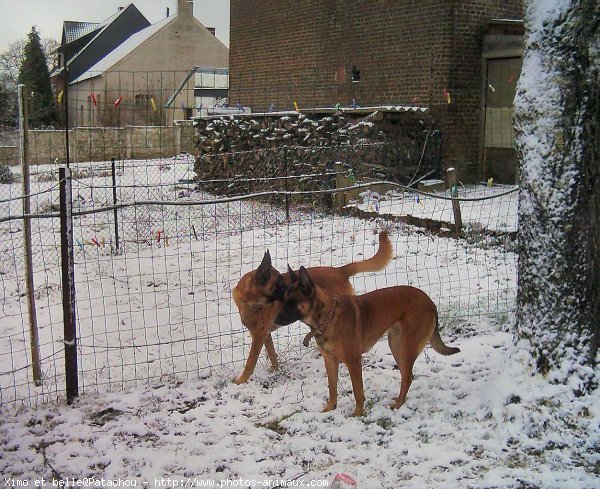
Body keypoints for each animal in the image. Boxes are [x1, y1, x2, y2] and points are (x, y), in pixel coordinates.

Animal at [231, 231, 394, 384]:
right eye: (282, 284)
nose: (292, 292)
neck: (249, 300)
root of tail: (340, 270)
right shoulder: (265, 335)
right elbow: (272, 355)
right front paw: (276, 370)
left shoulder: (258, 336)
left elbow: (250, 363)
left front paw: (240, 381)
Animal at [274, 264, 462, 414]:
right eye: (284, 300)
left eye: (292, 302)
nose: (274, 320)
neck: (327, 317)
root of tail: (430, 302)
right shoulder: (330, 360)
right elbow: (332, 387)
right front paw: (329, 408)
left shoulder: (353, 361)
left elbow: (358, 391)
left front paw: (358, 413)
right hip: (396, 345)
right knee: (406, 376)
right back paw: (398, 400)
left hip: (405, 347)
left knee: (408, 377)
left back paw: (398, 405)